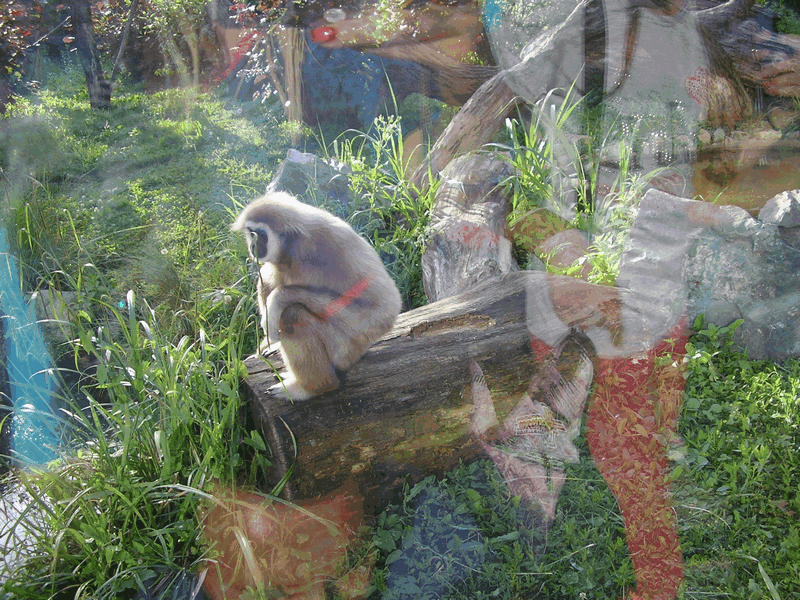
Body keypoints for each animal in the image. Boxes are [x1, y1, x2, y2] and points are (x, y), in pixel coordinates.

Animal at [232, 192, 402, 400]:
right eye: (250, 233)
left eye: (260, 235)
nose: (253, 246)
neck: (294, 245)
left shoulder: (335, 242)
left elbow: (381, 309)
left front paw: (276, 303)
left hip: (347, 348)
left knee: (292, 315)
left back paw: (311, 388)